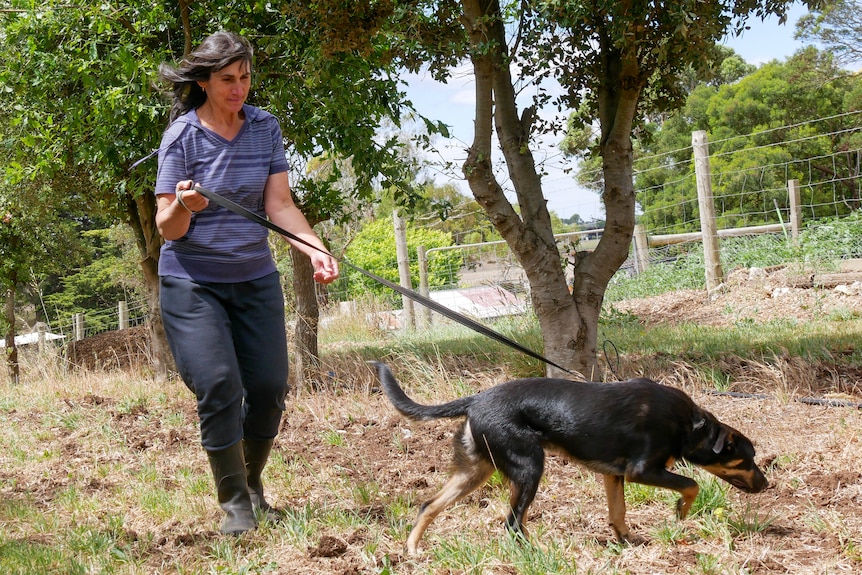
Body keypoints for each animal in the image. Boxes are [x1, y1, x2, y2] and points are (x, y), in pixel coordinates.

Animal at [372, 362, 768, 556]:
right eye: (747, 460)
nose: (766, 485)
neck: (689, 425)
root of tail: (476, 399)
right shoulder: (642, 470)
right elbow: (692, 484)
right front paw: (681, 513)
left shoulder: (614, 475)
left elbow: (618, 512)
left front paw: (628, 540)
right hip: (529, 468)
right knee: (512, 523)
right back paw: (537, 551)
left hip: (475, 472)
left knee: (429, 505)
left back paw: (412, 550)